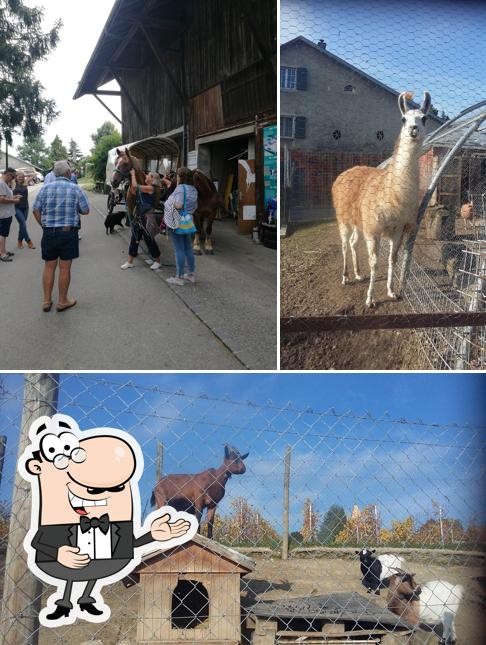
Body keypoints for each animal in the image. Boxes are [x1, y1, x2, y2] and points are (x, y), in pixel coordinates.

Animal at [332, 90, 430, 306]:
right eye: (403, 119)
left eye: (424, 118)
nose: (413, 129)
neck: (394, 196)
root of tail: (344, 173)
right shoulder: (374, 228)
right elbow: (375, 263)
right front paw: (370, 299)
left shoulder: (397, 229)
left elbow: (392, 260)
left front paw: (391, 291)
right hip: (344, 219)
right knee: (344, 245)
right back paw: (345, 277)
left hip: (359, 221)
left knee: (353, 243)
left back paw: (358, 274)